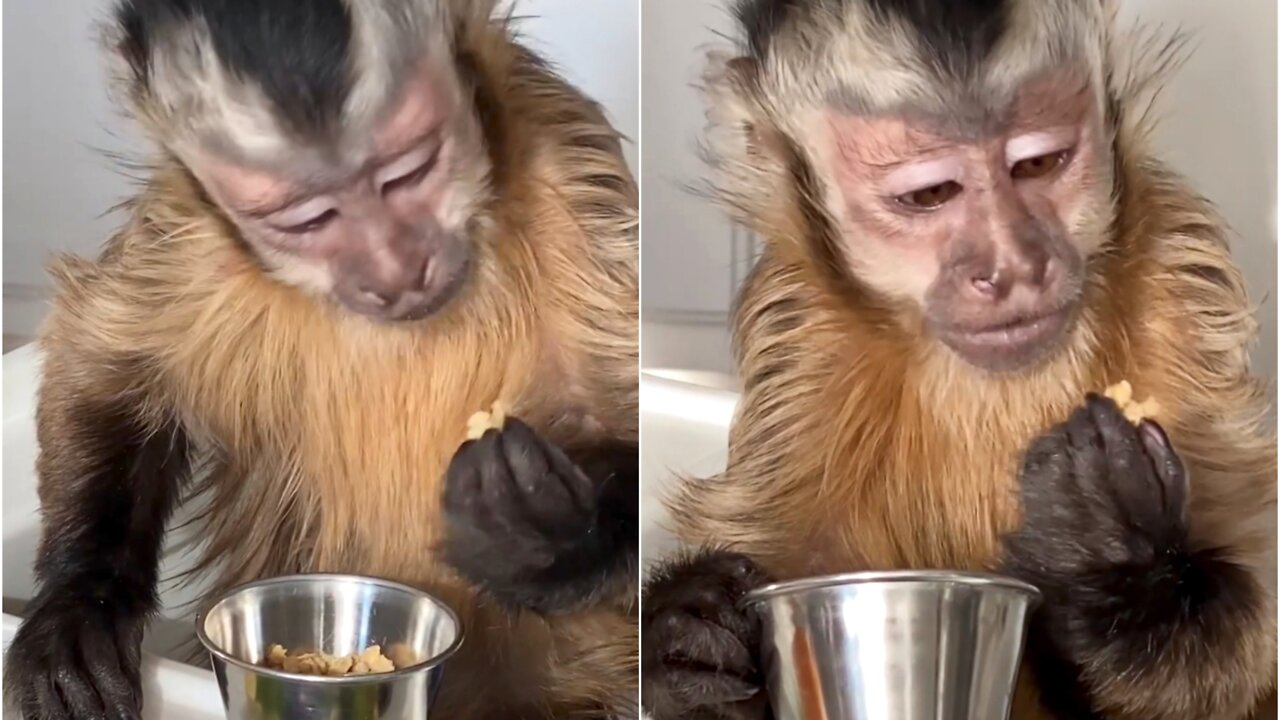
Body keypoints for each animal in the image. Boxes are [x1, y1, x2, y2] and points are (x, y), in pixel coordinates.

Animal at [2, 1, 637, 717]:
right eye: (306, 219)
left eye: (408, 172)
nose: (396, 271)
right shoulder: (191, 235)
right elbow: (104, 366)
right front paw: (79, 601)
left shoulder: (571, 171)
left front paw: (544, 541)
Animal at [645, 1, 1274, 717]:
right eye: (930, 195)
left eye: (1039, 164)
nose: (1014, 266)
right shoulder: (799, 329)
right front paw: (685, 633)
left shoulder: (1180, 272)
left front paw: (1105, 550)